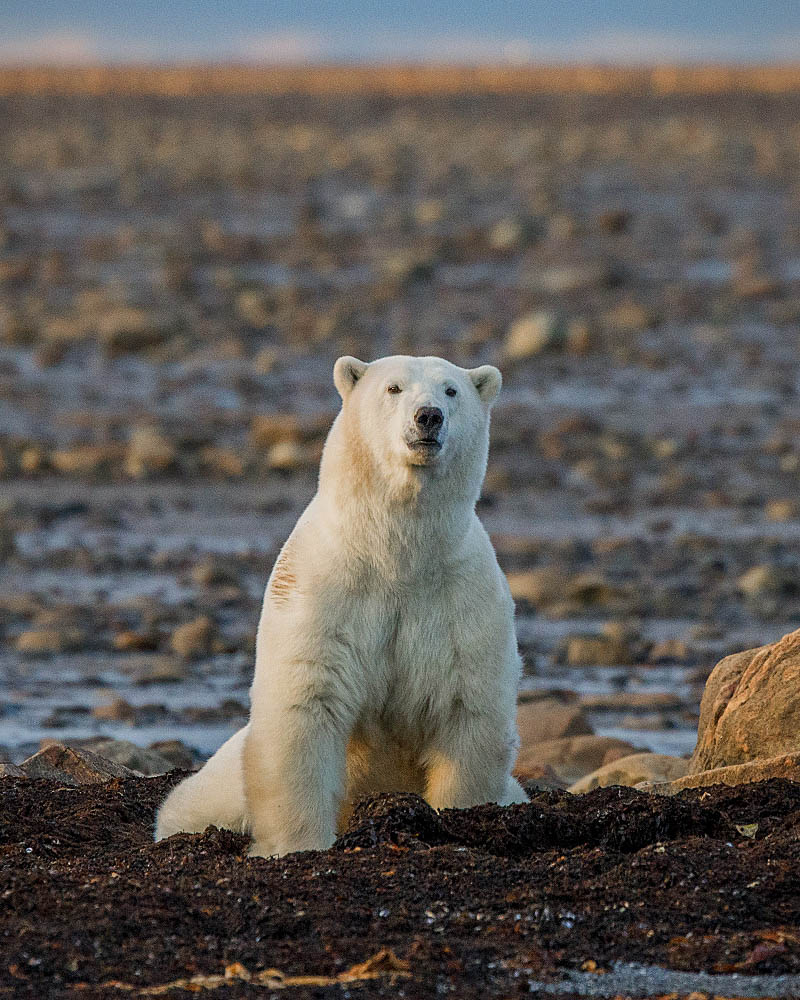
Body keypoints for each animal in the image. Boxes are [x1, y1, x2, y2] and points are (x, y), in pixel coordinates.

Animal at [157, 356, 528, 856]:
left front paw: (460, 817)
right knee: (194, 800)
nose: (428, 416)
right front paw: (296, 844)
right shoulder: (325, 591)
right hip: (222, 781)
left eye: (451, 390)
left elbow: (466, 709)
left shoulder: (461, 602)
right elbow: (306, 705)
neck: (398, 555)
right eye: (393, 388)